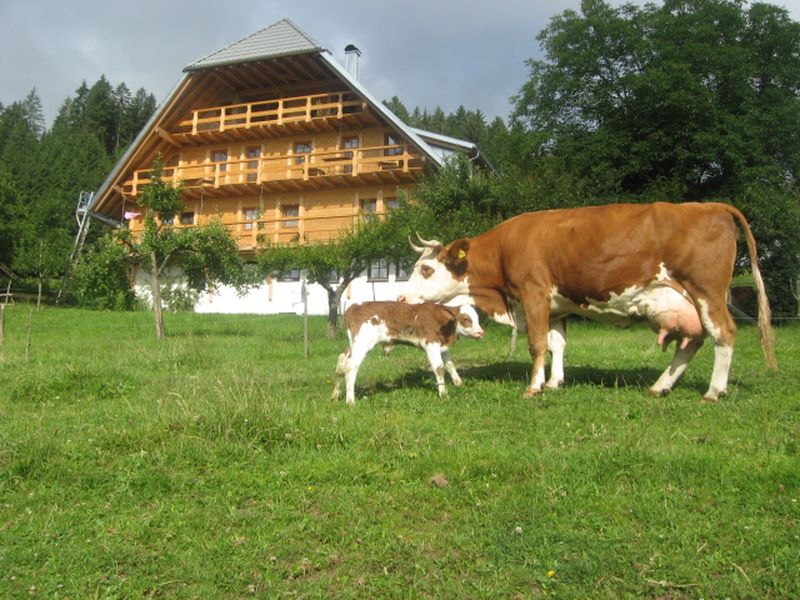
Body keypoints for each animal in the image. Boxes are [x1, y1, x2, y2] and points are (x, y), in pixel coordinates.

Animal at [330, 300, 482, 404]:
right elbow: (439, 368)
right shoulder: (431, 343)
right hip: (363, 343)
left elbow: (449, 364)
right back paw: (350, 400)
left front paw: (458, 383)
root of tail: (354, 307)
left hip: (354, 344)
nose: (481, 332)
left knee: (341, 360)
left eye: (477, 319)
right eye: (466, 319)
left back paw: (335, 394)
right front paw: (443, 394)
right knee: (351, 367)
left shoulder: (442, 346)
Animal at [398, 203, 776, 404]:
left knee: (723, 334)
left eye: (426, 269)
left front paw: (534, 387)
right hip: (688, 300)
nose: (400, 297)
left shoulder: (534, 294)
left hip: (706, 291)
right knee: (694, 339)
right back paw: (661, 386)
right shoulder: (556, 306)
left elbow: (537, 344)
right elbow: (557, 344)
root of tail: (712, 205)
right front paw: (554, 382)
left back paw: (713, 391)